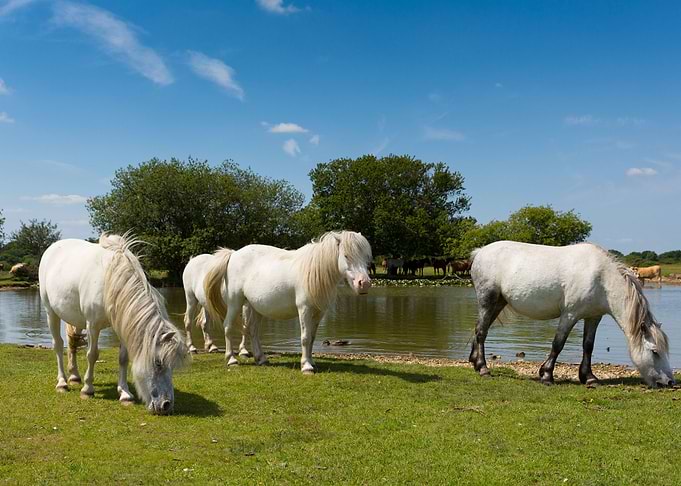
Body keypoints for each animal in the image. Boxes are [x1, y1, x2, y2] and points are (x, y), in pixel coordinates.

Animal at [39, 234, 189, 414]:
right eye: (158, 363)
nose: (166, 405)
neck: (111, 279)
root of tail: (53, 247)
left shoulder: (122, 325)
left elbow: (123, 358)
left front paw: (125, 394)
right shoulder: (93, 325)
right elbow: (92, 355)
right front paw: (88, 390)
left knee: (72, 342)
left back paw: (74, 377)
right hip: (51, 312)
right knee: (58, 345)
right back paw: (62, 383)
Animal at [204, 231, 372, 374]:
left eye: (366, 257)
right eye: (346, 255)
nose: (364, 284)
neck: (313, 272)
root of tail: (233, 254)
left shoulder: (319, 313)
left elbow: (312, 338)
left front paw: (311, 362)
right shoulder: (304, 309)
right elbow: (305, 338)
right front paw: (306, 366)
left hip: (255, 307)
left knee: (253, 331)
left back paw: (261, 359)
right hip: (235, 303)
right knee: (228, 327)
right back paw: (231, 360)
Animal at [470, 241, 673, 388]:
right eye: (655, 352)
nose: (670, 382)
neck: (601, 278)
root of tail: (480, 252)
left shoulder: (593, 317)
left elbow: (588, 346)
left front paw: (589, 378)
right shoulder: (569, 315)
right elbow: (558, 344)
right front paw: (547, 375)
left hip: (498, 303)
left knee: (480, 328)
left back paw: (475, 362)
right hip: (487, 300)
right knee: (481, 331)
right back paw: (483, 368)